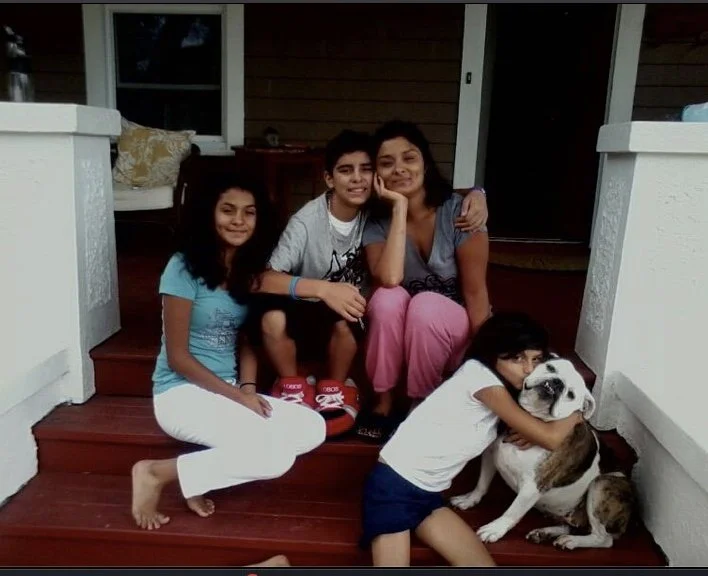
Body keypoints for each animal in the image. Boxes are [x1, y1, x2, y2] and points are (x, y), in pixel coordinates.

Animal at [450, 357, 636, 550]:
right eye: (550, 367)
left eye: (571, 394)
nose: (557, 383)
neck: (531, 422)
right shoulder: (490, 455)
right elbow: (482, 483)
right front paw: (470, 499)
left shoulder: (532, 487)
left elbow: (512, 511)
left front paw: (495, 529)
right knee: (570, 525)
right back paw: (544, 533)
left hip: (603, 484)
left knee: (603, 538)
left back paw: (572, 541)